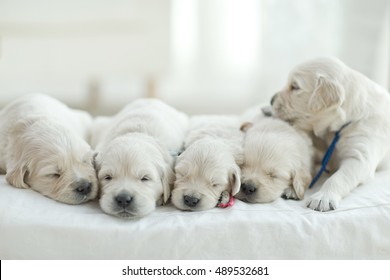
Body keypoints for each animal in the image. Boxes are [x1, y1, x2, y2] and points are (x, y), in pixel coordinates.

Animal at [272, 57, 390, 210]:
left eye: (295, 87)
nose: (271, 100)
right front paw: (294, 187)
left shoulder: (360, 157)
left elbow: (339, 178)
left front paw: (323, 197)